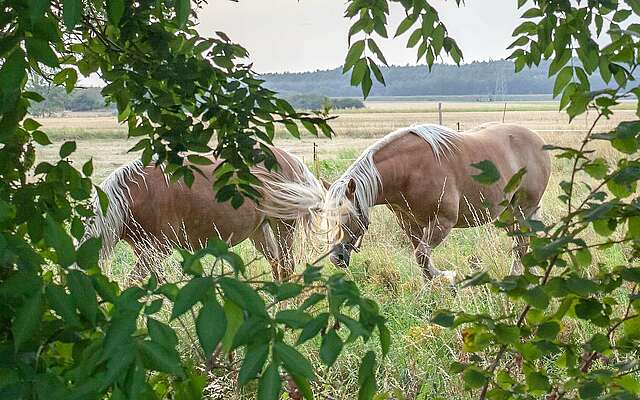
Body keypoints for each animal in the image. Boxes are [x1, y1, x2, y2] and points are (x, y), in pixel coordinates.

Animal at [84, 147, 324, 282]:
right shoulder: (146, 252)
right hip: (259, 230)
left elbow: (133, 283)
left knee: (286, 267)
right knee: (275, 265)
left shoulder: (158, 250)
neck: (132, 195)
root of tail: (291, 160)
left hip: (284, 226)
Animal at [322, 122, 552, 282]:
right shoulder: (409, 224)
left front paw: (446, 277)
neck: (409, 170)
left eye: (349, 217)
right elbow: (420, 258)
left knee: (521, 245)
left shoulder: (442, 222)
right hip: (508, 213)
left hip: (523, 209)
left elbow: (423, 256)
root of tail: (537, 139)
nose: (336, 257)